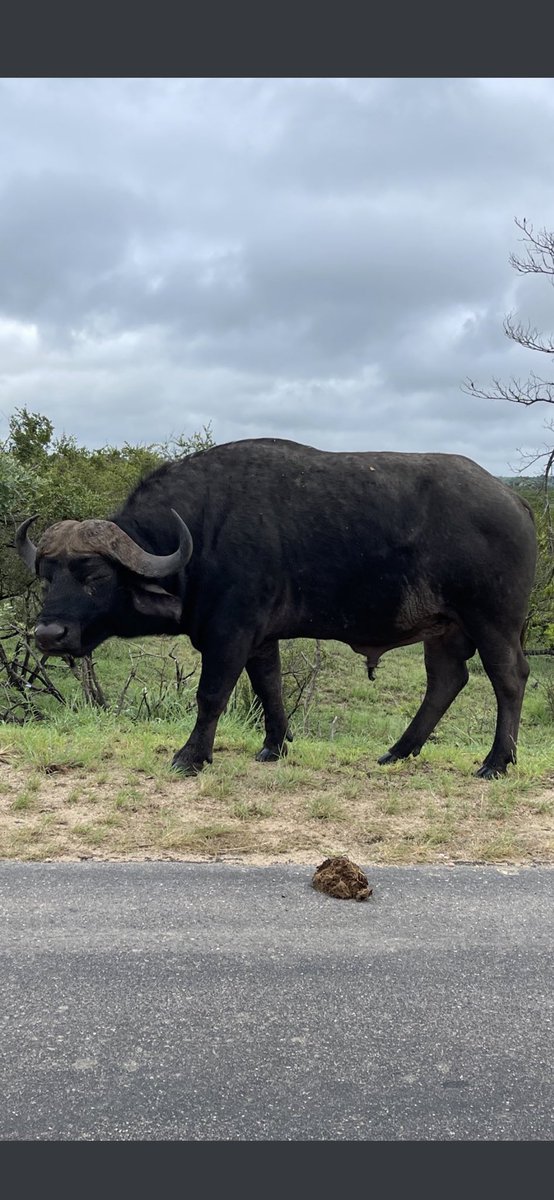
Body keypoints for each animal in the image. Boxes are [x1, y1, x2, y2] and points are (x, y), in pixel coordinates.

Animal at [16, 437, 537, 778]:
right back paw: (399, 750)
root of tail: (514, 500)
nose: (48, 636)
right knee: (447, 680)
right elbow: (270, 688)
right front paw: (273, 747)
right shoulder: (260, 639)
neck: (203, 531)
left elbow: (211, 695)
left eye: (95, 576)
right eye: (47, 574)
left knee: (509, 678)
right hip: (444, 631)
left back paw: (496, 762)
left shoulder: (230, 632)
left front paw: (190, 756)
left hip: (493, 622)